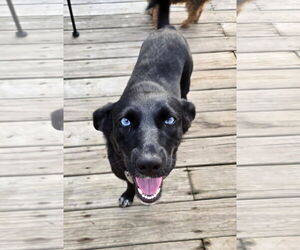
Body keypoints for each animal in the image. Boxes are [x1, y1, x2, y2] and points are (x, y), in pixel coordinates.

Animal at [95, 0, 196, 207]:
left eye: (170, 120)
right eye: (125, 121)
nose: (149, 164)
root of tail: (166, 27)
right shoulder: (120, 168)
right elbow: (130, 181)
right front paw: (128, 195)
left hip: (187, 78)